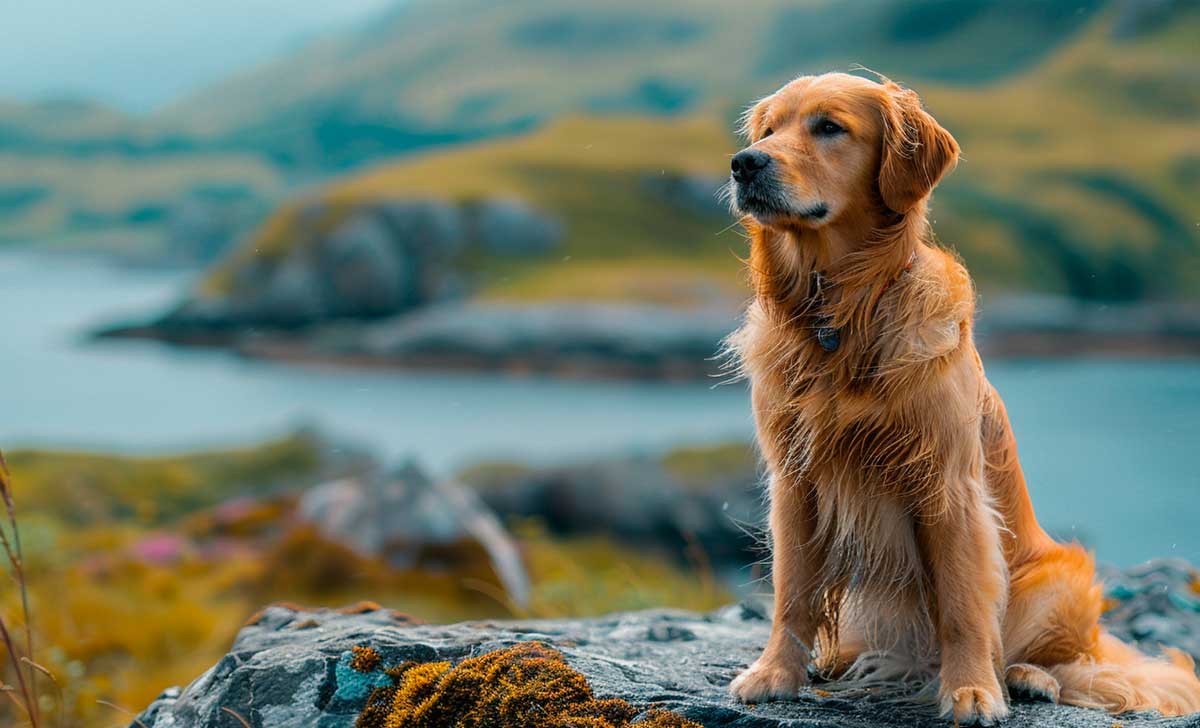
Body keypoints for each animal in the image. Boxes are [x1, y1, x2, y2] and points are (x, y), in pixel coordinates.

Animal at [720, 72, 1200, 724]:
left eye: (829, 127)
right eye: (768, 130)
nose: (745, 163)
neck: (845, 312)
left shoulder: (947, 483)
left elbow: (962, 600)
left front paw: (972, 689)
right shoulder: (794, 482)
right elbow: (792, 593)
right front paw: (776, 673)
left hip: (1060, 583)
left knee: (1072, 665)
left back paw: (1024, 678)